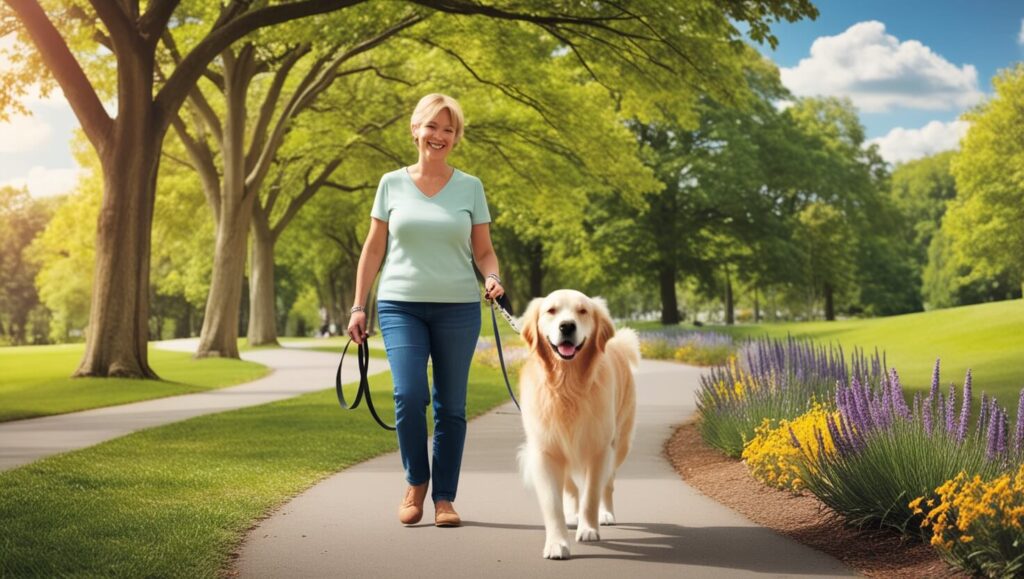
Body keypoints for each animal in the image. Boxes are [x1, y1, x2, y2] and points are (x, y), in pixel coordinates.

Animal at [520, 288, 638, 561]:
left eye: (582, 311)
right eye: (551, 310)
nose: (567, 326)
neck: (567, 384)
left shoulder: (599, 448)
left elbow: (592, 493)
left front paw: (589, 529)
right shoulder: (545, 451)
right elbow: (553, 502)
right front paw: (557, 543)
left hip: (620, 444)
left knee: (608, 484)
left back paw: (605, 514)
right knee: (570, 486)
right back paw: (572, 515)